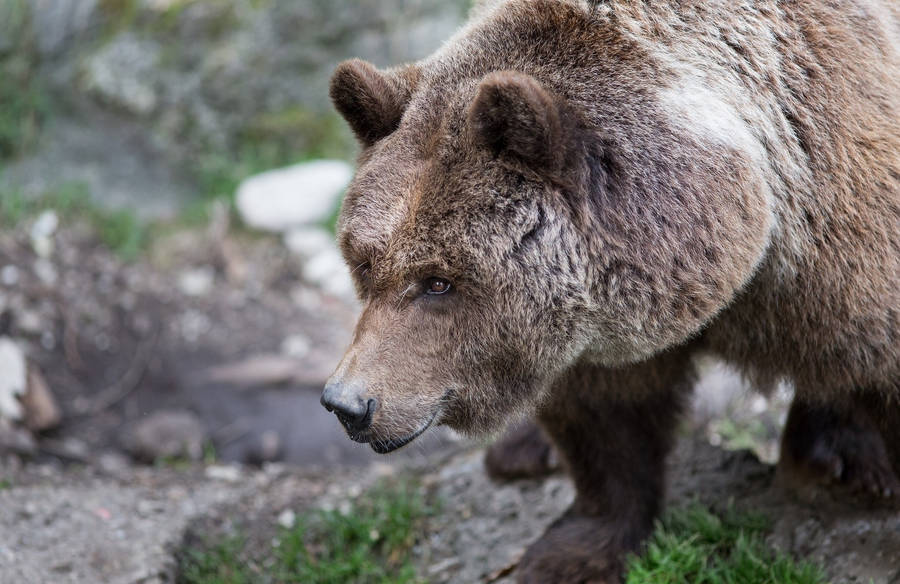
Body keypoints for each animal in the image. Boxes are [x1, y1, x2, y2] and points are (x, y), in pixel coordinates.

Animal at [320, 0, 900, 581]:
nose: (347, 404)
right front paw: (573, 549)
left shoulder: (837, 235)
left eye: (438, 281)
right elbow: (605, 419)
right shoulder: (587, 327)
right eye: (364, 263)